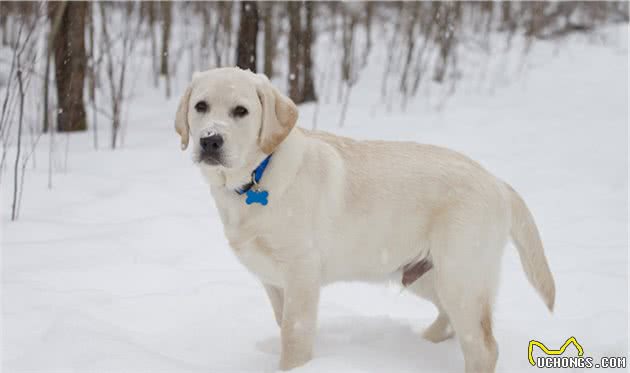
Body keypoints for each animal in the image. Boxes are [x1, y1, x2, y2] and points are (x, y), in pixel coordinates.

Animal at [175, 67, 556, 372]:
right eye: (201, 106)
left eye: (241, 111)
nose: (210, 140)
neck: (256, 176)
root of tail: (496, 181)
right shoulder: (273, 280)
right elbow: (283, 324)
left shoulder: (301, 274)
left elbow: (294, 335)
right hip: (426, 275)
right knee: (451, 322)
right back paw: (424, 341)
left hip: (461, 276)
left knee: (483, 347)